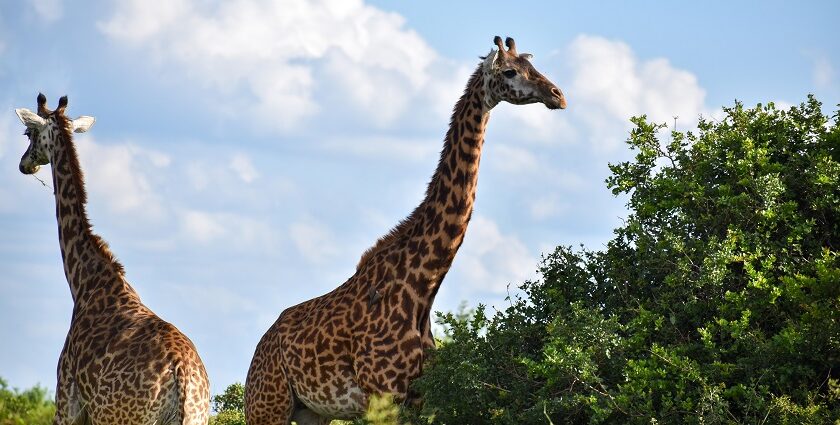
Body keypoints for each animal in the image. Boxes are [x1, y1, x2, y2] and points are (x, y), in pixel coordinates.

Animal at [14, 93, 210, 424]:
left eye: (29, 133)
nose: (23, 164)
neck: (83, 282)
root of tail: (183, 376)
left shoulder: (67, 401)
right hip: (194, 416)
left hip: (119, 415)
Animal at [243, 36, 568, 424]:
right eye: (509, 72)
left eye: (532, 66)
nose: (558, 95)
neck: (422, 287)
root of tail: (259, 347)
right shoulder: (380, 397)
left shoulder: (418, 399)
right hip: (268, 405)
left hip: (311, 411)